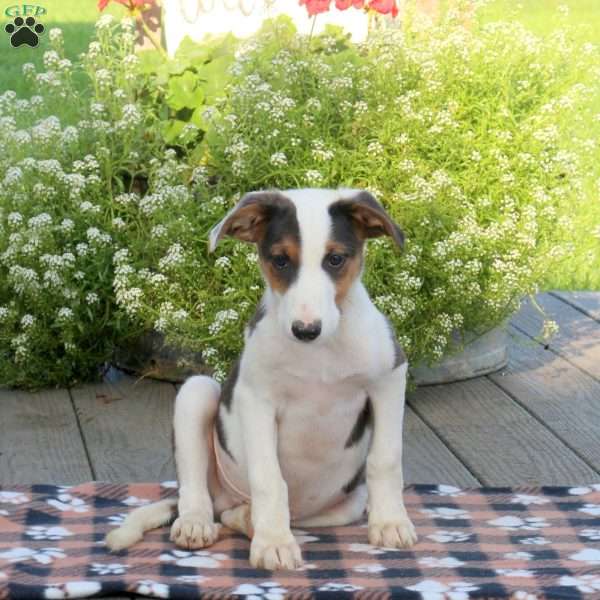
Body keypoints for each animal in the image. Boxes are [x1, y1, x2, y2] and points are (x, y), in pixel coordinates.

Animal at [106, 190, 418, 568]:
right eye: (281, 261)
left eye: (336, 259)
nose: (306, 330)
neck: (318, 354)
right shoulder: (256, 400)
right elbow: (269, 478)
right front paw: (274, 544)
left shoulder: (389, 379)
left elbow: (385, 459)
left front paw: (390, 524)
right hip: (197, 392)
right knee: (197, 493)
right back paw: (199, 523)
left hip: (346, 504)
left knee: (237, 516)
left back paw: (251, 519)